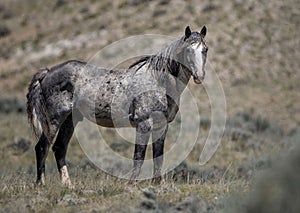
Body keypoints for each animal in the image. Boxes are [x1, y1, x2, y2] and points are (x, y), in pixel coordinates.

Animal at [26, 25, 209, 187]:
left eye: (205, 49)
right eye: (188, 50)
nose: (199, 76)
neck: (158, 81)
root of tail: (47, 73)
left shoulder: (161, 126)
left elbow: (158, 156)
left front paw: (157, 183)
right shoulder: (144, 123)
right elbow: (139, 155)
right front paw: (132, 184)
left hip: (69, 120)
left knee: (59, 148)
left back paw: (68, 185)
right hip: (54, 120)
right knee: (42, 147)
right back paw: (41, 184)